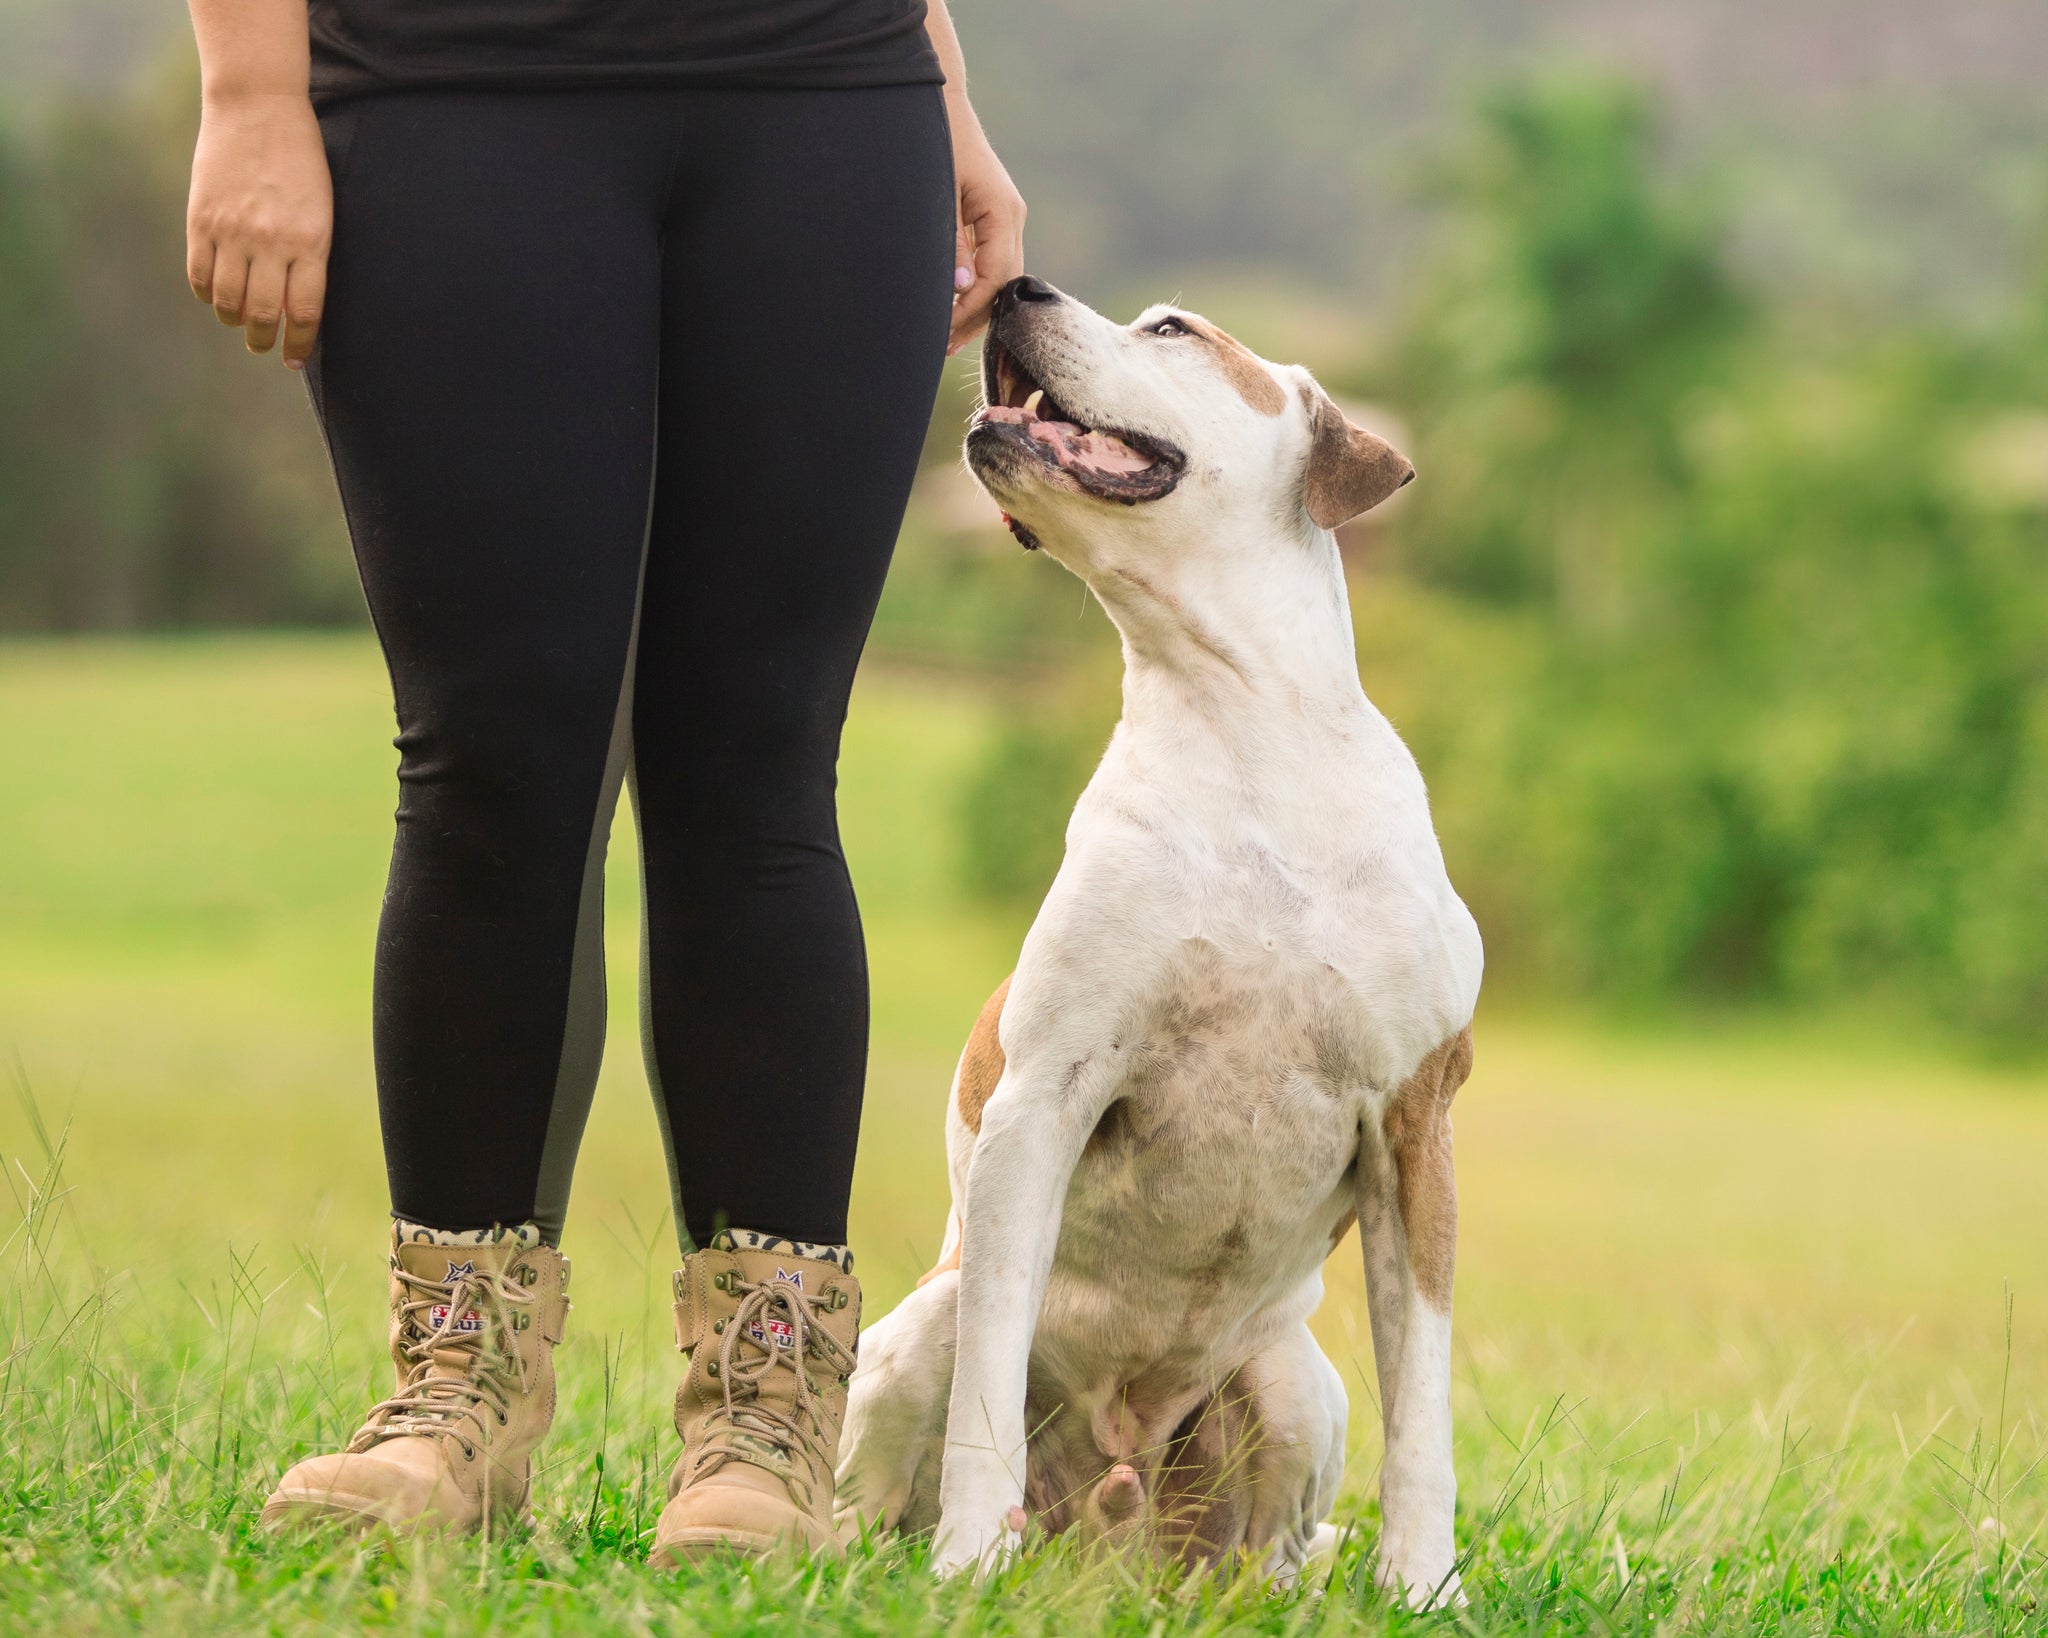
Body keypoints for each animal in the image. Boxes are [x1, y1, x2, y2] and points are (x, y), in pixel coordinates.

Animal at [835, 278, 1490, 1597]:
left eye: (1173, 331)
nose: (1013, 284)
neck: (1243, 729)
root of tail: (1103, 1527)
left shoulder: (1416, 1130)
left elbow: (1425, 1407)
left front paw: (1422, 1585)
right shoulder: (1041, 1101)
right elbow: (988, 1377)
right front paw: (966, 1559)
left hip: (1292, 1384)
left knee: (1265, 1539)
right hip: (915, 1331)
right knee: (879, 1476)